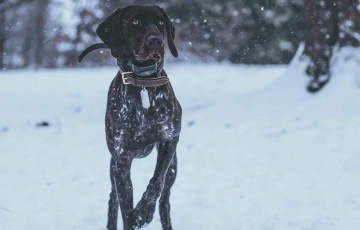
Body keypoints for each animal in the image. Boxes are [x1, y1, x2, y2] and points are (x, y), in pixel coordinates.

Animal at [77, 4, 181, 230]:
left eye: (160, 23)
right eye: (135, 21)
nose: (156, 41)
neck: (142, 82)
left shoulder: (170, 140)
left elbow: (156, 182)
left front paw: (143, 212)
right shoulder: (121, 159)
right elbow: (125, 209)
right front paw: (135, 215)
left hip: (173, 168)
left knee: (164, 199)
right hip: (113, 167)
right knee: (113, 197)